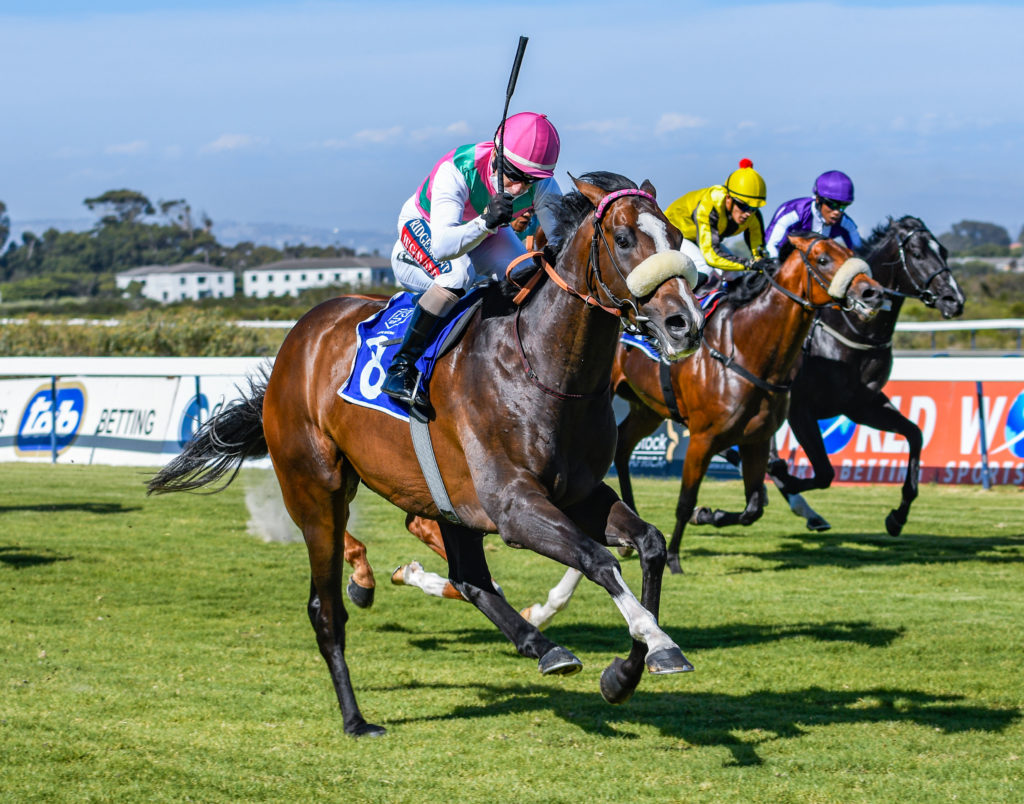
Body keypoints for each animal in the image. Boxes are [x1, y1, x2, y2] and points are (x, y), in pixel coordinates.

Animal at [147, 171, 705, 737]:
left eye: (677, 237)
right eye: (624, 239)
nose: (684, 323)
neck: (542, 368)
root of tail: (297, 341)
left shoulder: (579, 493)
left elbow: (650, 544)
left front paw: (630, 670)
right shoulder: (515, 506)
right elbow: (598, 558)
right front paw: (654, 640)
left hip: (447, 502)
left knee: (471, 579)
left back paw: (543, 646)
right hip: (317, 491)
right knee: (326, 609)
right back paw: (356, 716)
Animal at [765, 216, 966, 535]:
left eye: (944, 251)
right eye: (917, 253)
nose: (954, 299)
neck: (852, 331)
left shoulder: (861, 405)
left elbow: (915, 434)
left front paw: (897, 517)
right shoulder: (799, 408)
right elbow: (823, 472)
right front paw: (784, 475)